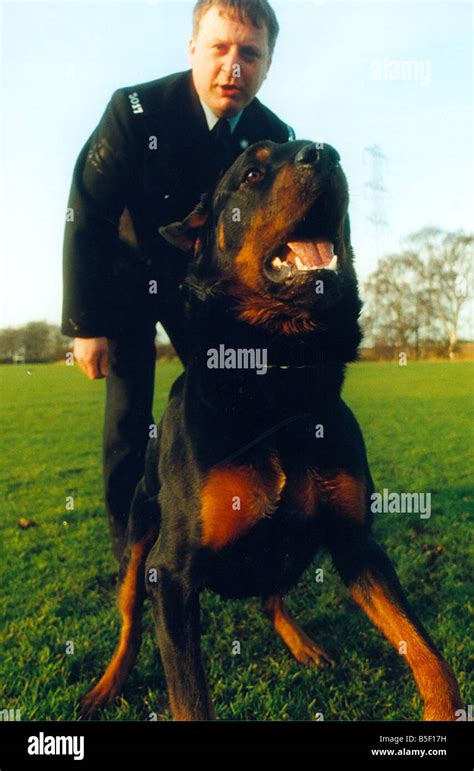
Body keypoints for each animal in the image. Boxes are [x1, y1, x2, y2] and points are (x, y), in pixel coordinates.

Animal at [80, 140, 462, 724]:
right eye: (252, 173)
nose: (324, 153)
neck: (279, 370)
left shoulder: (357, 543)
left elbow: (427, 653)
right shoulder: (171, 574)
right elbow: (189, 698)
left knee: (271, 597)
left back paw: (304, 645)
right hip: (138, 542)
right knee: (130, 623)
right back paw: (105, 686)